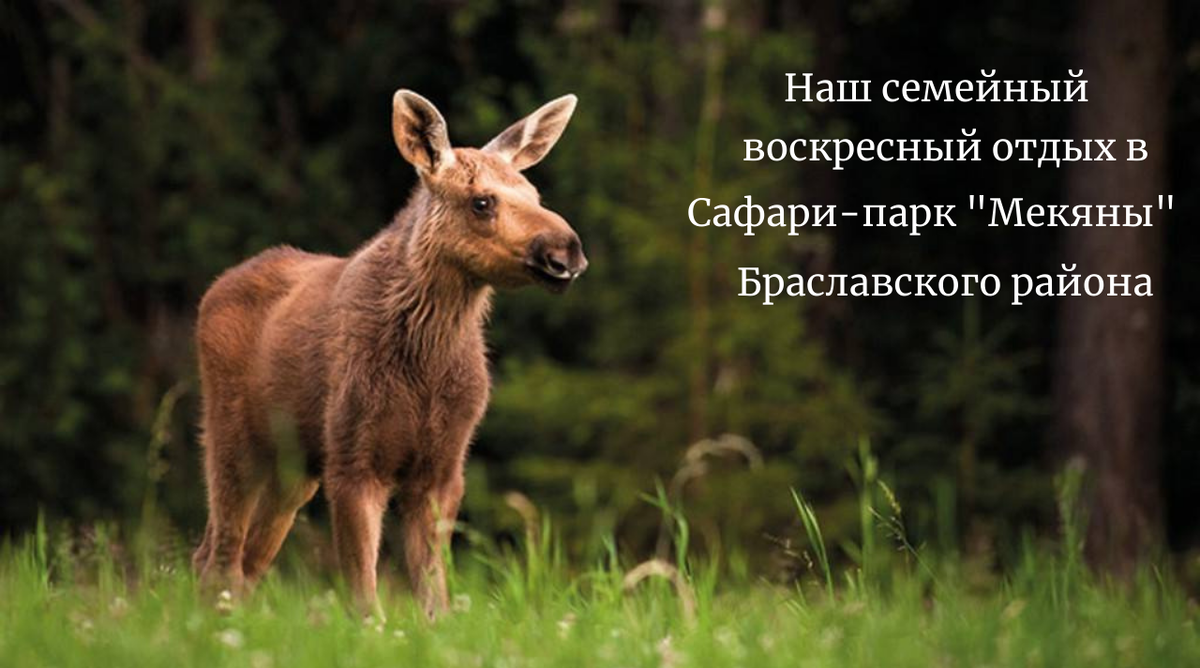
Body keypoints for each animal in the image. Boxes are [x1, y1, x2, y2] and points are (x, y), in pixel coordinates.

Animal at [190, 89, 586, 619]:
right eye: (482, 201)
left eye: (536, 195)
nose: (567, 252)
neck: (426, 362)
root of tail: (214, 289)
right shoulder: (352, 459)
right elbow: (364, 595)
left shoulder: (443, 467)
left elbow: (435, 598)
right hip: (231, 433)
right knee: (220, 556)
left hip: (293, 467)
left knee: (241, 560)